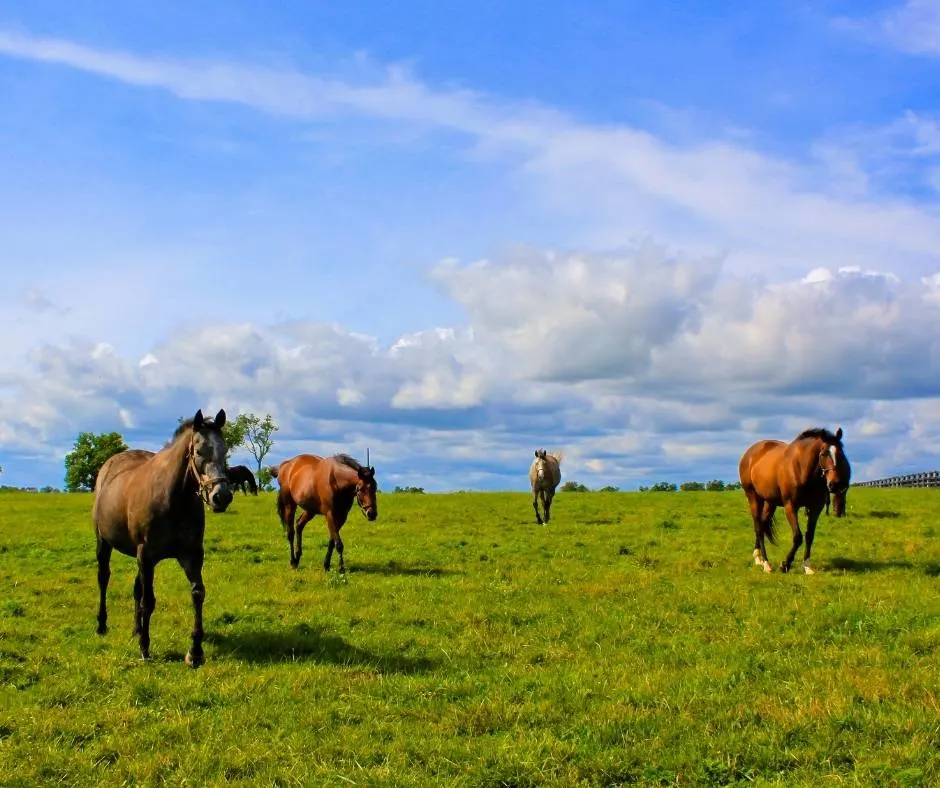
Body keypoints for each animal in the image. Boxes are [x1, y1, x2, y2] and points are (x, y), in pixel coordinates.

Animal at [92, 410, 232, 668]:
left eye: (225, 450)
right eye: (199, 451)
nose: (222, 497)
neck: (174, 498)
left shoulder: (191, 555)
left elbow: (197, 593)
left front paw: (195, 652)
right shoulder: (147, 556)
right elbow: (149, 601)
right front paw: (145, 649)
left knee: (136, 588)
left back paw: (137, 628)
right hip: (104, 543)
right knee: (104, 578)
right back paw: (102, 624)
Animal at [740, 428, 852, 576]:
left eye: (841, 453)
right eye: (823, 454)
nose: (836, 484)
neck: (801, 469)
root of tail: (749, 454)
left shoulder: (815, 508)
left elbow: (809, 536)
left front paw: (807, 566)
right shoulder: (791, 506)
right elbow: (798, 537)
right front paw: (785, 565)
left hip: (770, 502)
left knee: (763, 525)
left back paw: (758, 557)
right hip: (753, 497)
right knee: (758, 527)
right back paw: (766, 563)